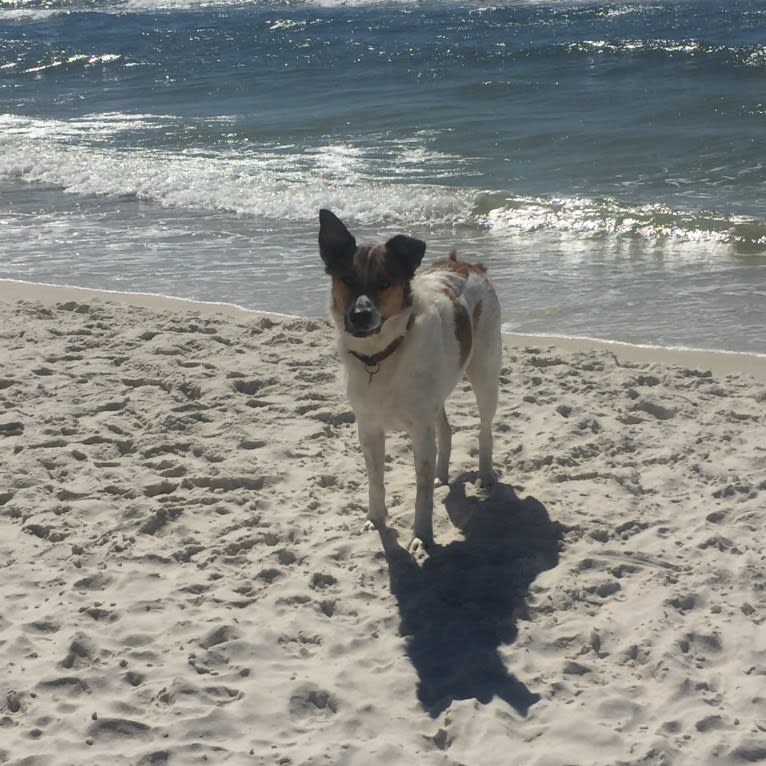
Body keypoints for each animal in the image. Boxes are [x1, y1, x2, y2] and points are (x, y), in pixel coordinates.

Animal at [318, 210, 504, 552]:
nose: (360, 315)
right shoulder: (369, 428)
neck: (381, 356)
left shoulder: (420, 430)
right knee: (446, 429)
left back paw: (485, 475)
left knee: (485, 429)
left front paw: (422, 535)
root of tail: (465, 264)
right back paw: (442, 475)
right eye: (347, 280)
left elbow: (422, 492)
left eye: (384, 283)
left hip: (485, 373)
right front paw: (376, 519)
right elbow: (375, 481)